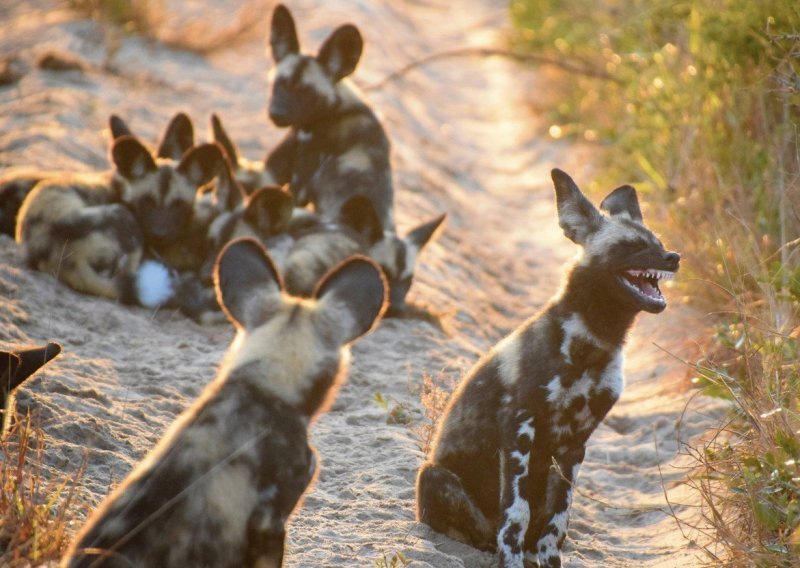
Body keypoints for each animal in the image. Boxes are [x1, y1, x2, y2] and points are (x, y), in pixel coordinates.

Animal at [416, 169, 684, 568]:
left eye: (658, 242)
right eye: (630, 246)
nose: (673, 256)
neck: (594, 341)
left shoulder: (574, 444)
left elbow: (558, 520)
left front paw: (549, 560)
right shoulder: (519, 429)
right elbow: (517, 514)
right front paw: (510, 562)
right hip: (432, 476)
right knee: (486, 531)